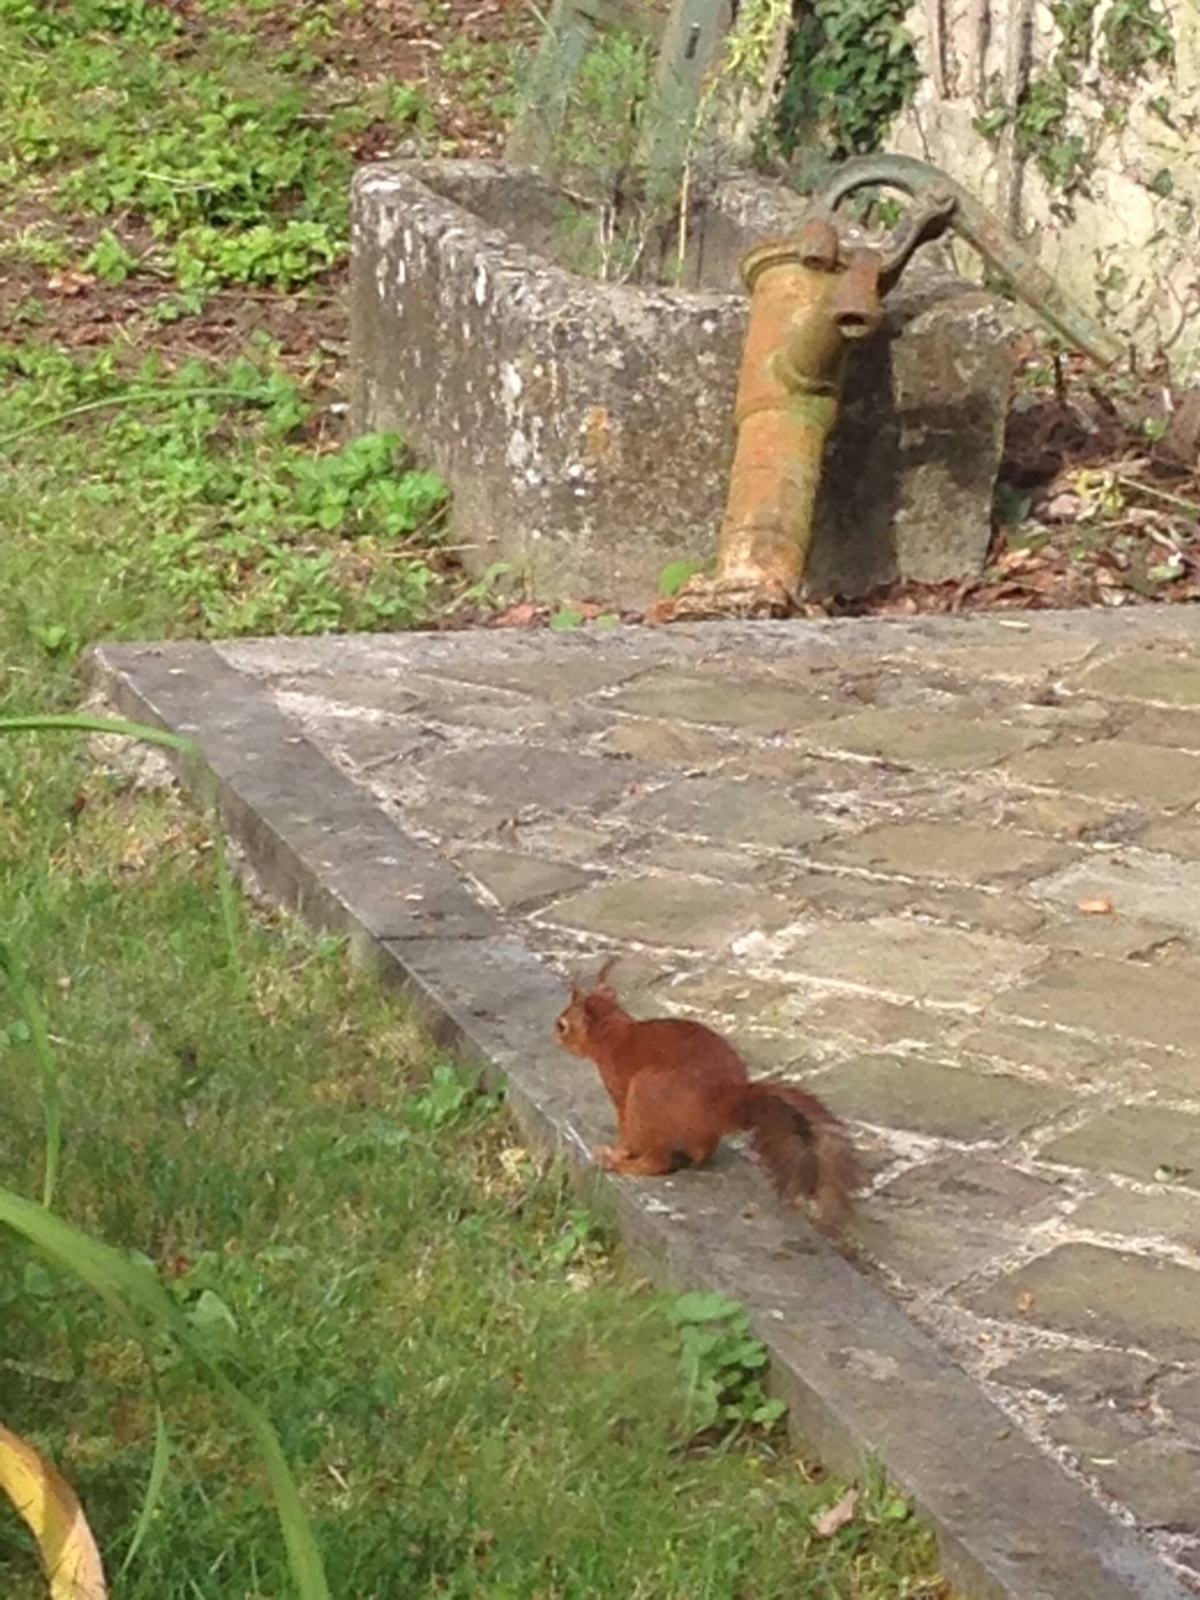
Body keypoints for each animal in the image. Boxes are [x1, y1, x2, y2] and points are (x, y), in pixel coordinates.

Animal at [554, 959, 858, 1230]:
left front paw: (616, 1151)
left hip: (647, 1094)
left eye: (563, 1025)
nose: (554, 1036)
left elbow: (625, 1132)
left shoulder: (620, 1091)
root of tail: (724, 1103)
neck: (614, 1033)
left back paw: (619, 1165)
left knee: (657, 1162)